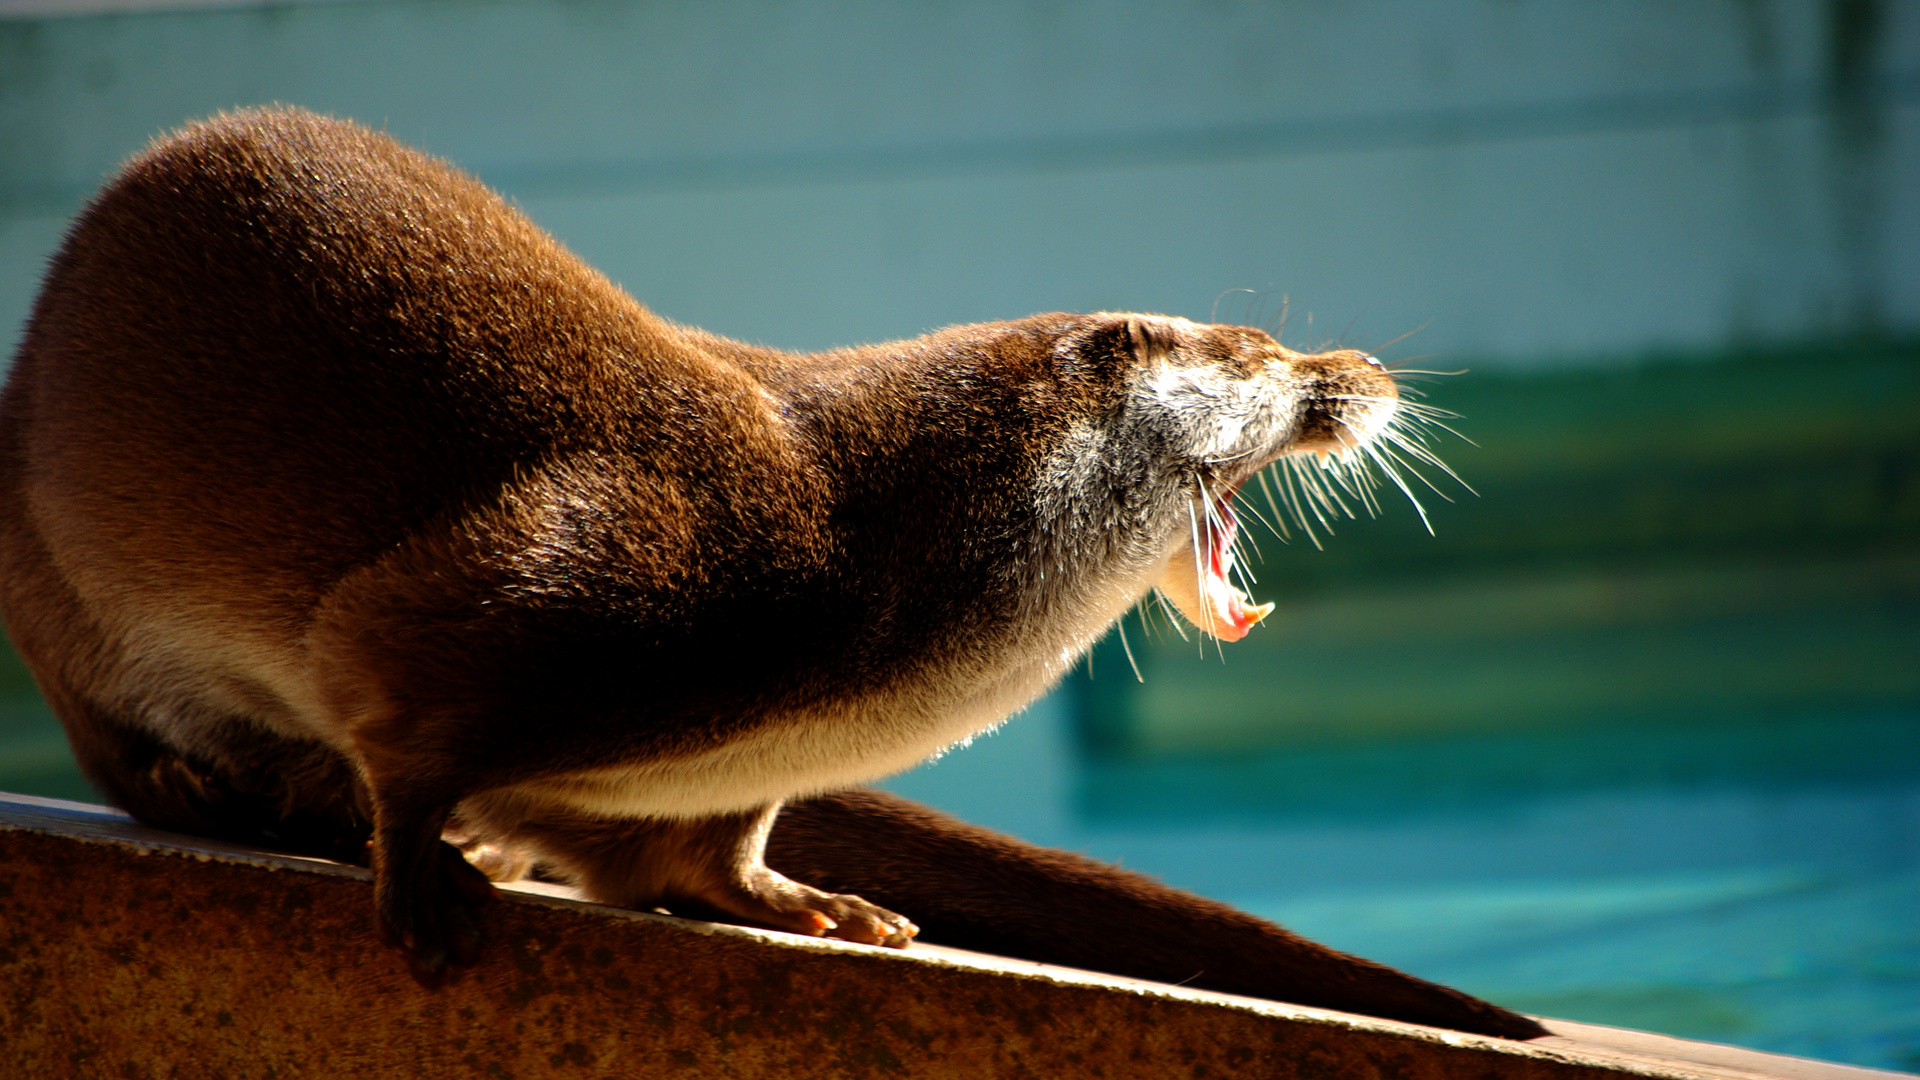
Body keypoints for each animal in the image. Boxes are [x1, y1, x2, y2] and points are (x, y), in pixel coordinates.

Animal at [0, 107, 1536, 1037]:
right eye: (1268, 353)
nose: (1369, 370)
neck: (866, 539)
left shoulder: (733, 765)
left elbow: (709, 846)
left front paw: (800, 900)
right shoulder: (533, 584)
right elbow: (404, 735)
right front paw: (424, 885)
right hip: (52, 576)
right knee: (117, 733)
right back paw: (221, 793)